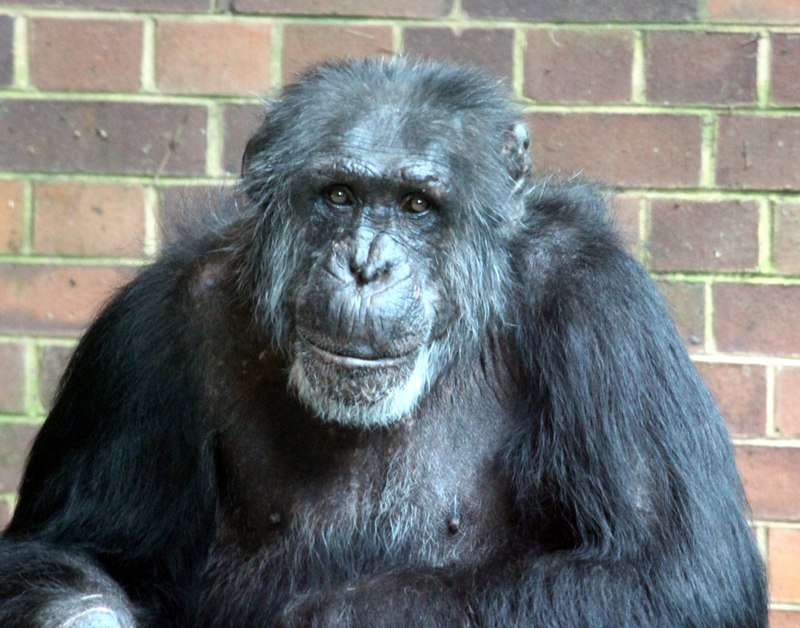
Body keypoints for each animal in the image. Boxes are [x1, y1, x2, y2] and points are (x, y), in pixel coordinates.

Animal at [0, 56, 768, 624]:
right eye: (339, 195)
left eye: (415, 205)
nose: (367, 265)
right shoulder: (145, 337)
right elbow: (79, 549)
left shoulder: (606, 313)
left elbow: (676, 571)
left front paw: (328, 617)